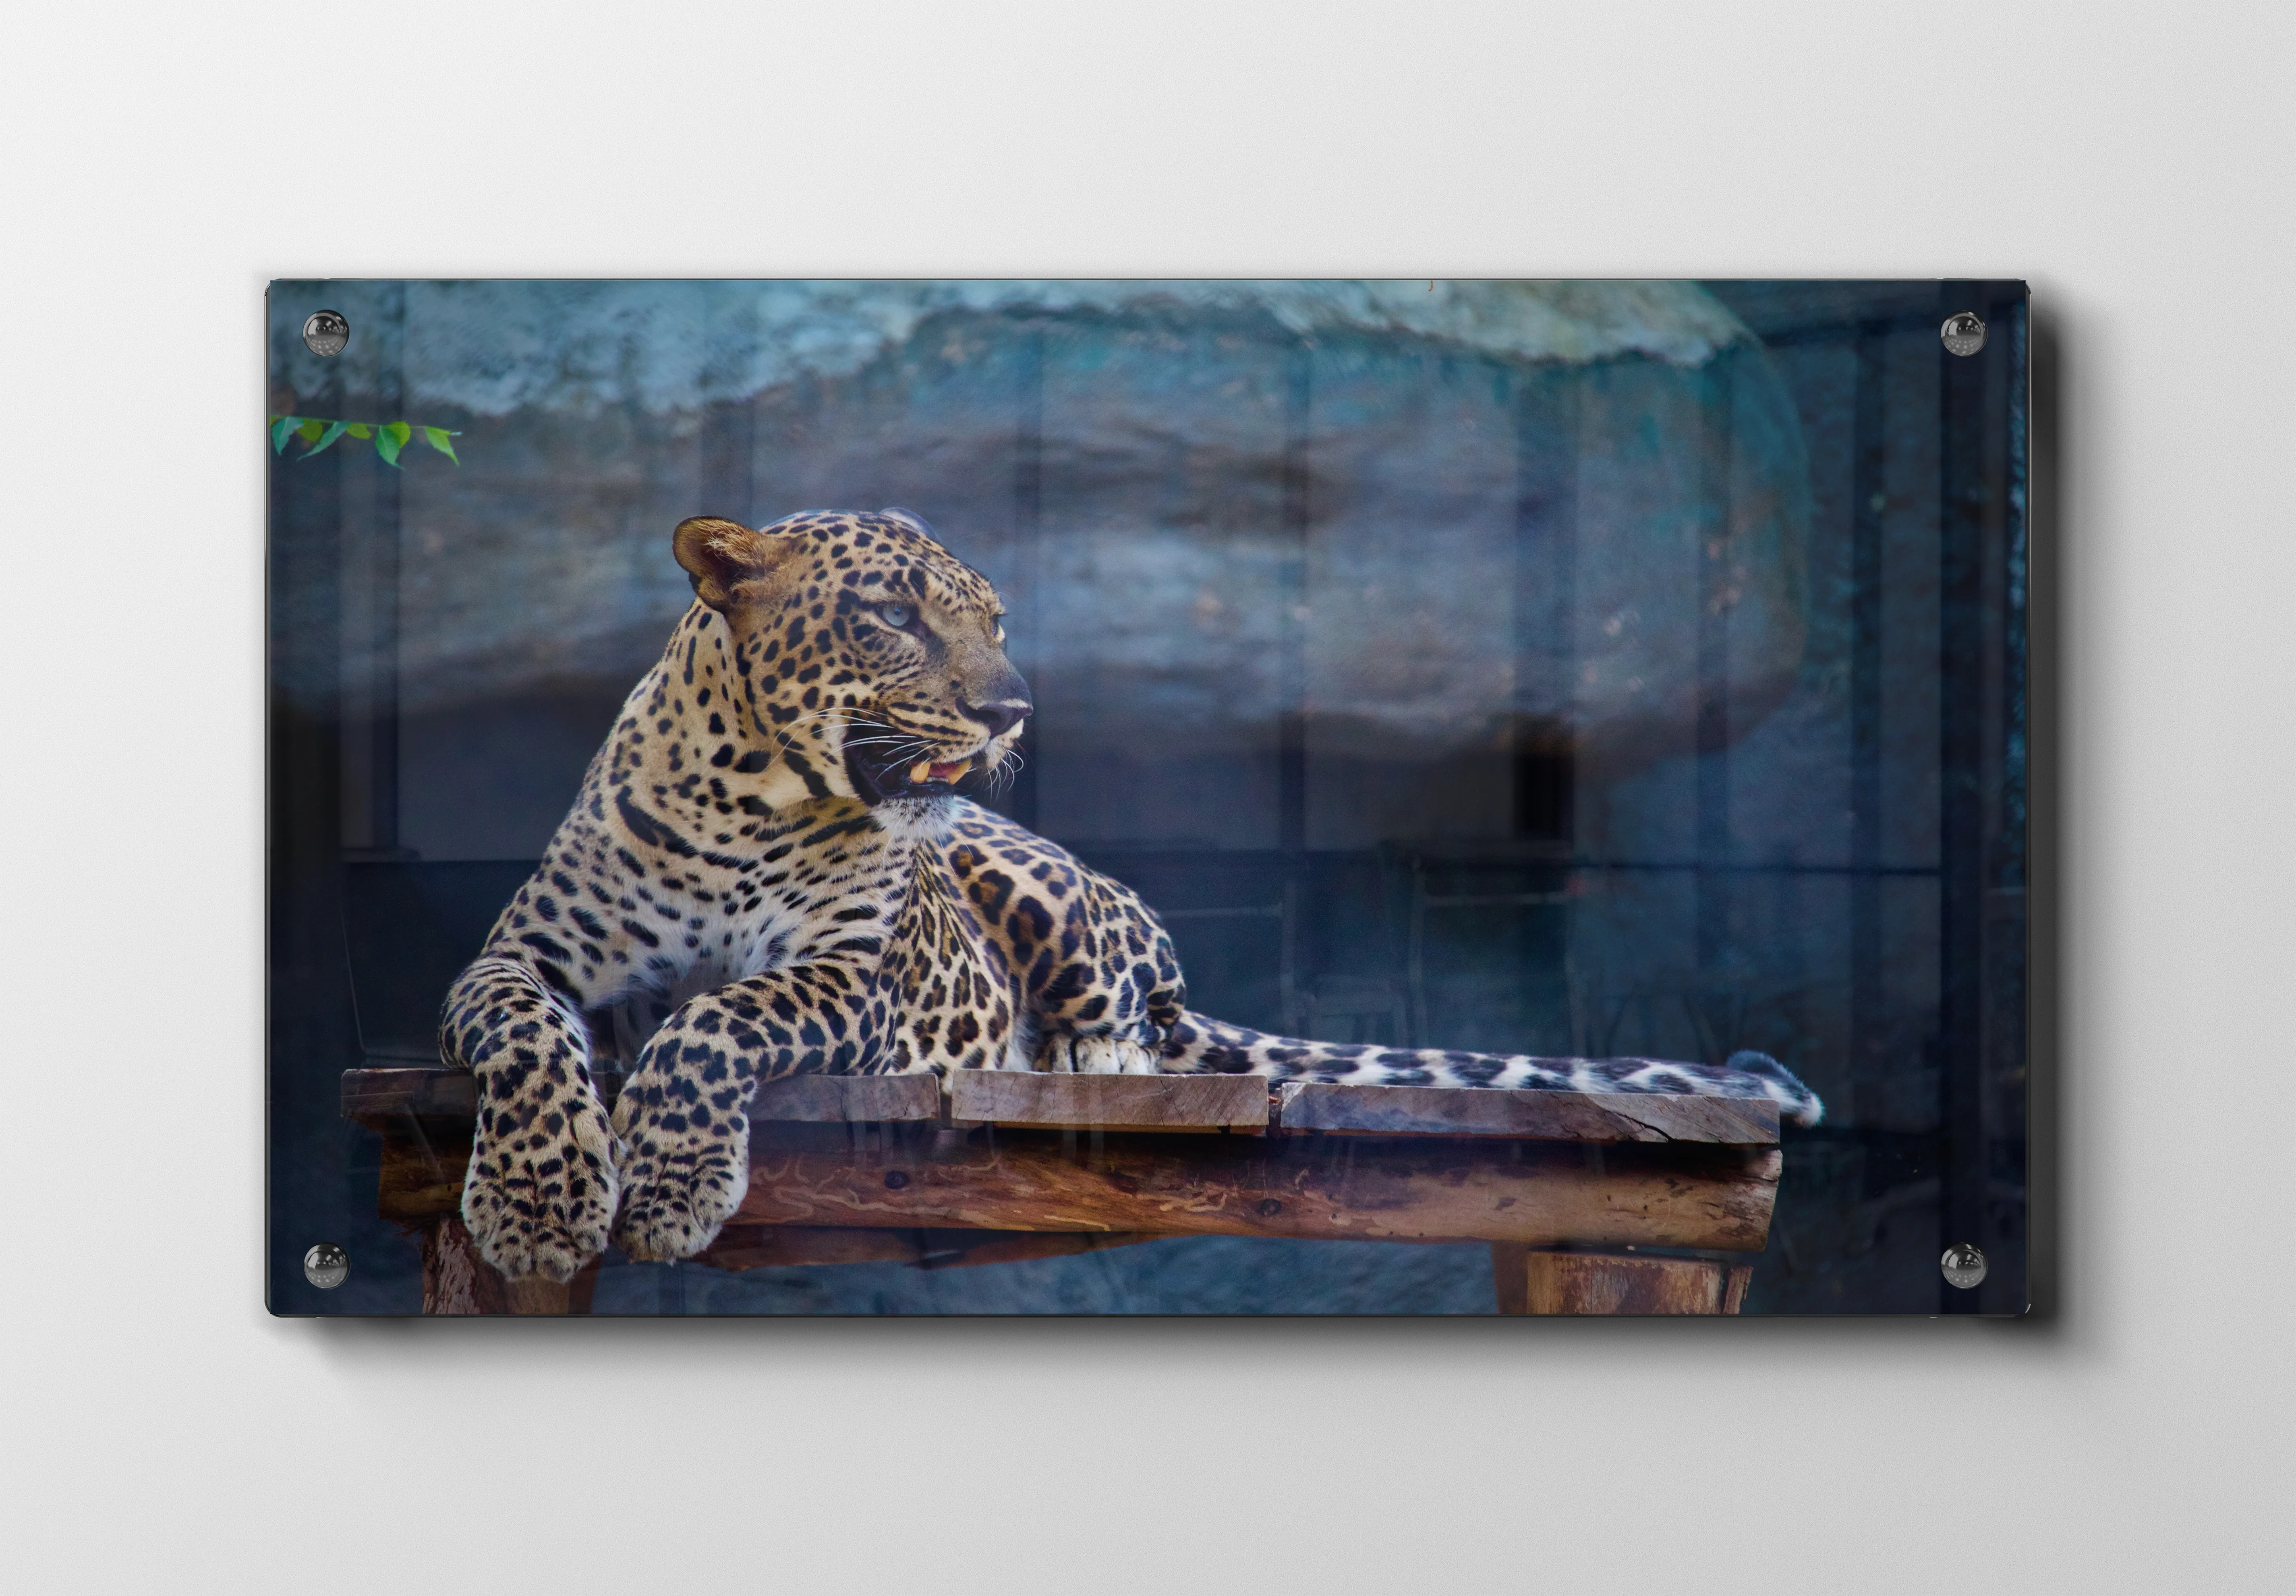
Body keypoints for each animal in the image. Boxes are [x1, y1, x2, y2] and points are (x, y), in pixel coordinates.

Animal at [441, 508, 1824, 1282]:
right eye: (892, 615)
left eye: (993, 621)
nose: (1010, 708)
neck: (748, 795)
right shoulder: (517, 959)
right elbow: (528, 1036)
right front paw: (539, 1206)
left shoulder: (852, 979)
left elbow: (713, 1021)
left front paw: (667, 1190)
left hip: (1045, 889)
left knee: (1137, 1019)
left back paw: (1082, 1061)